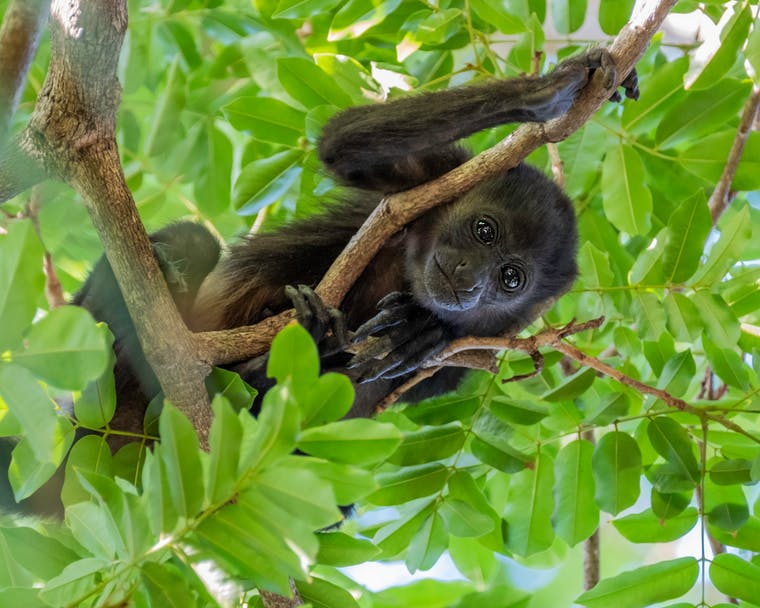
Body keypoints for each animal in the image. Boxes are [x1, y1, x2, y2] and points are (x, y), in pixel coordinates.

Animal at [75, 48, 639, 425]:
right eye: (484, 230)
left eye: (511, 279)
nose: (469, 276)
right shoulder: (440, 170)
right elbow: (344, 141)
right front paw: (548, 90)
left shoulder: (501, 337)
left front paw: (425, 329)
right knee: (195, 244)